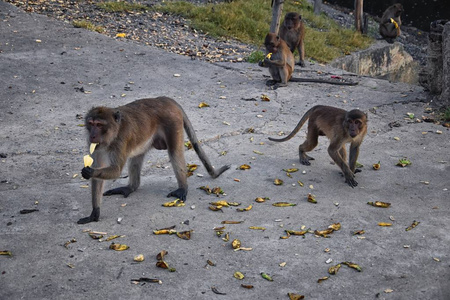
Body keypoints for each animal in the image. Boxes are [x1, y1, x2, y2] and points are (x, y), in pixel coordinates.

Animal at [77, 97, 230, 224]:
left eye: (99, 125)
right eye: (91, 123)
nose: (92, 135)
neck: (112, 135)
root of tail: (164, 99)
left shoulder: (121, 140)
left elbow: (116, 170)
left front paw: (89, 172)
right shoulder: (96, 146)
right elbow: (99, 170)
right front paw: (95, 213)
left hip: (173, 122)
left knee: (175, 152)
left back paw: (182, 188)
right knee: (136, 157)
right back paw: (131, 187)